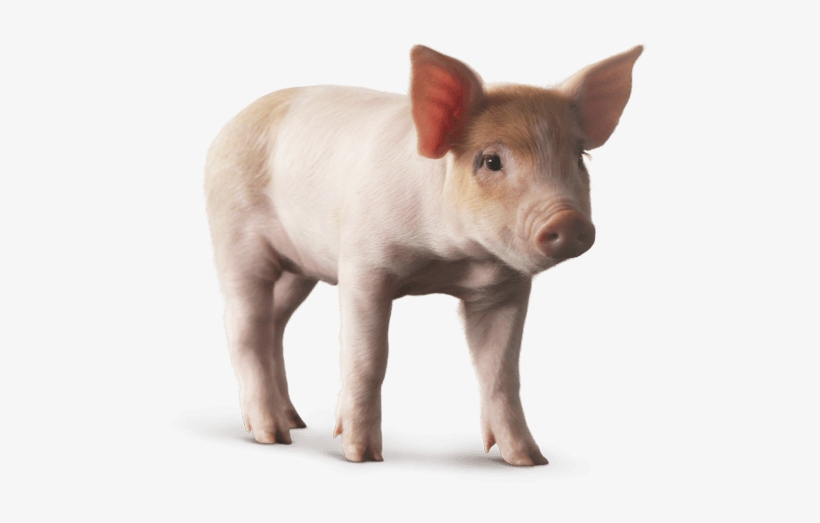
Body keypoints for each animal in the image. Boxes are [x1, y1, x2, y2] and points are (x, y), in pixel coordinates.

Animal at [205, 44, 642, 466]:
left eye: (579, 156)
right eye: (491, 161)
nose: (569, 220)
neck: (451, 257)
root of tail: (230, 125)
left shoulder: (503, 287)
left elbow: (501, 373)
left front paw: (530, 461)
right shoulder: (363, 263)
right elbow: (367, 359)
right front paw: (362, 456)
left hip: (299, 267)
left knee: (274, 323)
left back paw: (295, 422)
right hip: (234, 234)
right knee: (243, 326)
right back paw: (272, 435)